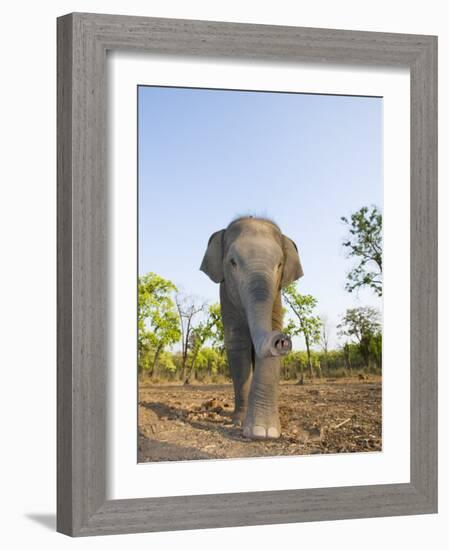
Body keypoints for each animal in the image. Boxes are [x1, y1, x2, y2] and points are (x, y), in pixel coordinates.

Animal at [199, 216, 300, 440]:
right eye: (232, 262)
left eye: (279, 264)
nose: (282, 340)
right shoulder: (226, 295)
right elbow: (237, 343)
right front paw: (239, 423)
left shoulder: (276, 296)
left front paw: (265, 432)